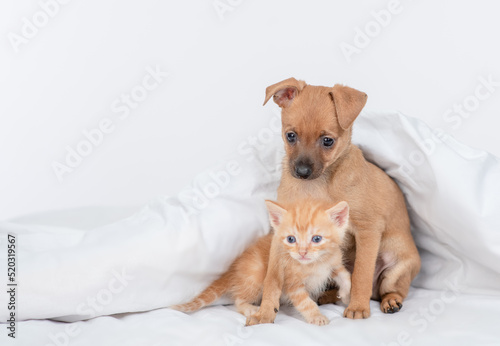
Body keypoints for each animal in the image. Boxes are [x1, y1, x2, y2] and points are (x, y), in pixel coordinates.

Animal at [170, 199, 350, 326]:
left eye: (317, 239)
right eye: (291, 239)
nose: (302, 252)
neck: (314, 264)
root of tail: (233, 269)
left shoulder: (334, 262)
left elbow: (346, 275)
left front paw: (345, 294)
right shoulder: (292, 283)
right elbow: (305, 302)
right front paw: (316, 316)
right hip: (255, 275)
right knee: (238, 300)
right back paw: (251, 308)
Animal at [248, 77, 420, 324]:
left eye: (327, 141)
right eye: (291, 136)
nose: (301, 172)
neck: (317, 186)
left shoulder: (368, 230)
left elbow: (361, 274)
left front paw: (358, 307)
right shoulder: (281, 233)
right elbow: (271, 277)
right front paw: (264, 312)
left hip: (396, 264)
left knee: (391, 288)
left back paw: (389, 301)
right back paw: (326, 296)